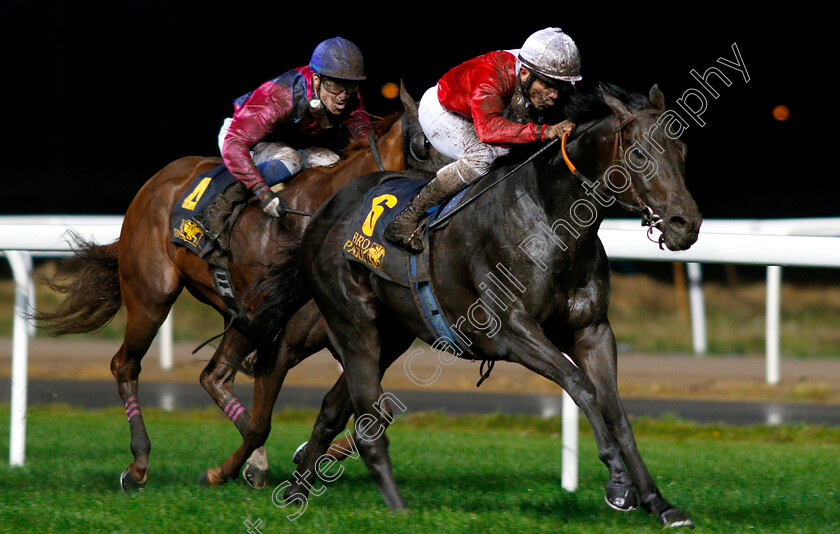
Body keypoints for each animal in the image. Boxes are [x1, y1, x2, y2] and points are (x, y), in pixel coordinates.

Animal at [34, 86, 446, 492]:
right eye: (429, 141)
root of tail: (157, 182)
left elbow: (379, 411)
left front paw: (308, 455)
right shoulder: (283, 342)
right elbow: (265, 420)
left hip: (233, 309)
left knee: (214, 375)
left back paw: (253, 462)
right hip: (152, 296)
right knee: (128, 365)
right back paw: (139, 465)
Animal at [256, 81, 704, 528]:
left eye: (682, 149)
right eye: (640, 154)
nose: (686, 224)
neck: (551, 218)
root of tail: (322, 211)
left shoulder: (592, 330)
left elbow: (616, 411)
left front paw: (660, 503)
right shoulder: (513, 330)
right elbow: (582, 388)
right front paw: (618, 484)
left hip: (392, 335)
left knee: (333, 410)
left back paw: (296, 491)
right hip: (354, 323)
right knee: (369, 422)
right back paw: (400, 511)